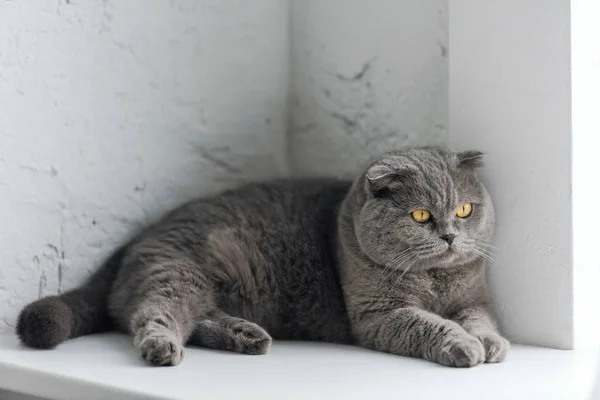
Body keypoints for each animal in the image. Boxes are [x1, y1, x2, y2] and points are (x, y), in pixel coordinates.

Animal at [16, 148, 508, 368]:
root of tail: (138, 236)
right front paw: (463, 345)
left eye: (465, 210)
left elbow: (481, 320)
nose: (450, 235)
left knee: (194, 317)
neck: (435, 279)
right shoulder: (379, 314)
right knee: (152, 314)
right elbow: (428, 324)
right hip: (179, 271)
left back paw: (246, 335)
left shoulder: (474, 298)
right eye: (420, 215)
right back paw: (163, 347)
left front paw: (490, 343)